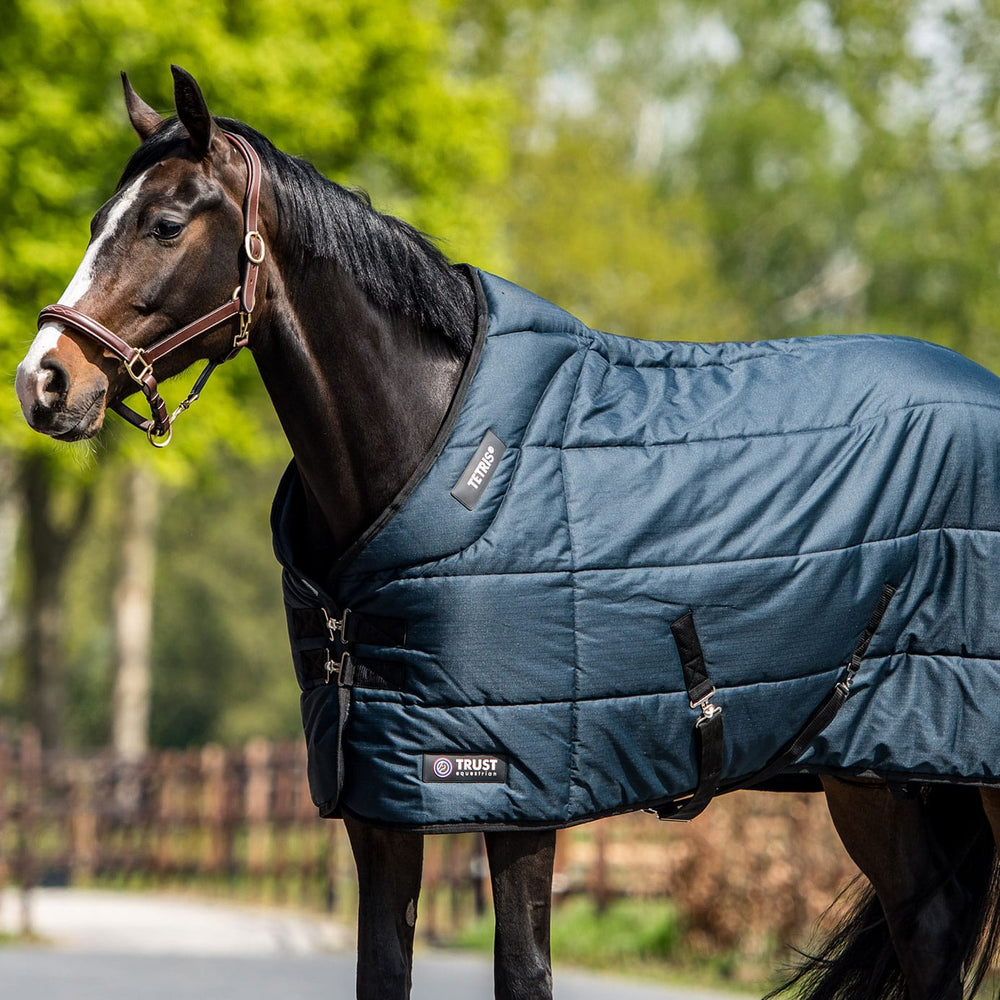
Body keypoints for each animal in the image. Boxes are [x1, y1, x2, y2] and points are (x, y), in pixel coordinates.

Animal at [14, 66, 1000, 1000]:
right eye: (99, 219)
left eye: (166, 224)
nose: (44, 382)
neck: (447, 456)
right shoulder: (382, 801)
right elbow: (383, 972)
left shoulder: (520, 796)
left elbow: (523, 974)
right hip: (879, 779)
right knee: (931, 933)